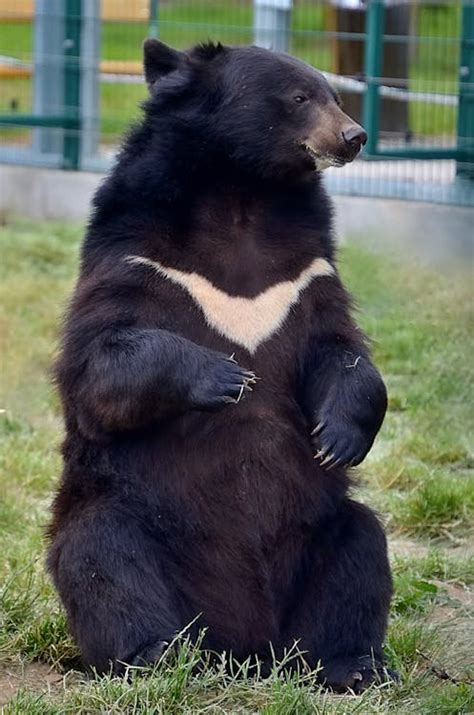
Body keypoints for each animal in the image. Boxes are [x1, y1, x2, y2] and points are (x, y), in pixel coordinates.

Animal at [48, 40, 394, 692]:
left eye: (336, 94)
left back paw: (351, 665)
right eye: (299, 97)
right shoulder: (137, 255)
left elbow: (340, 350)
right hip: (130, 515)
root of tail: (245, 650)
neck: (243, 197)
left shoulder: (304, 273)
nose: (354, 136)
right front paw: (230, 376)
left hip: (317, 532)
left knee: (359, 551)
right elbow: (102, 360)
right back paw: (155, 654)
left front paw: (336, 438)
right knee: (103, 556)